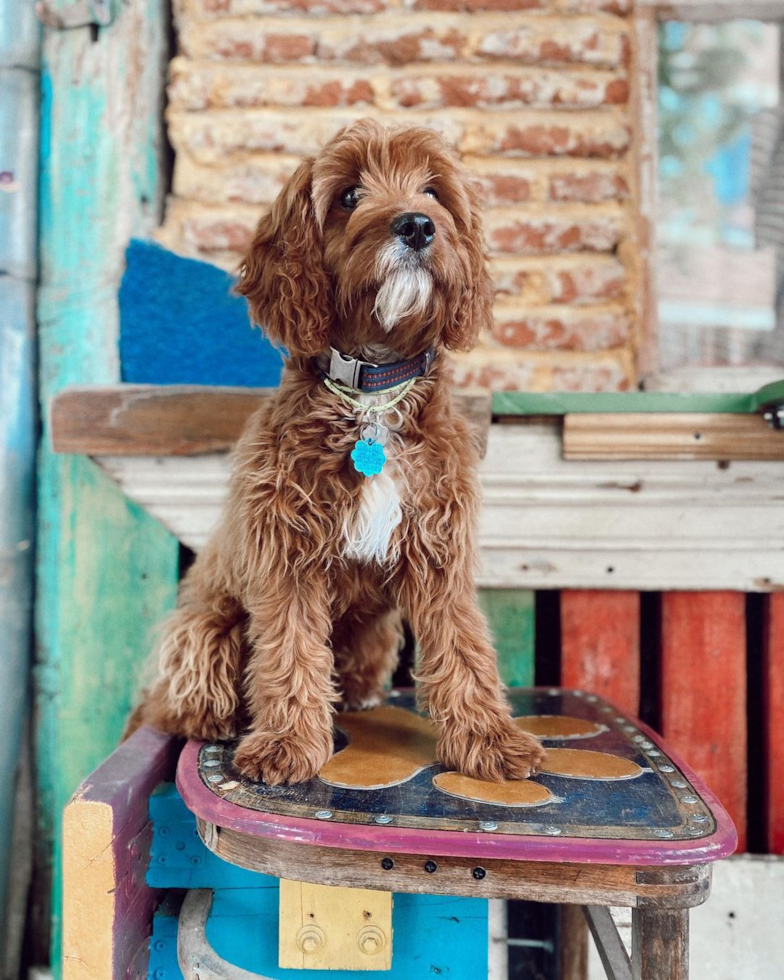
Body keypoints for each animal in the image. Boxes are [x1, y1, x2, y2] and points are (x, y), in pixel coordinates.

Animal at [130, 117, 544, 788]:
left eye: (433, 192)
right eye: (349, 195)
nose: (417, 226)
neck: (372, 394)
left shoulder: (441, 550)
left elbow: (463, 646)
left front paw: (490, 739)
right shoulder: (285, 552)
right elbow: (290, 650)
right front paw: (286, 744)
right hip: (203, 629)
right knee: (190, 695)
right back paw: (215, 719)